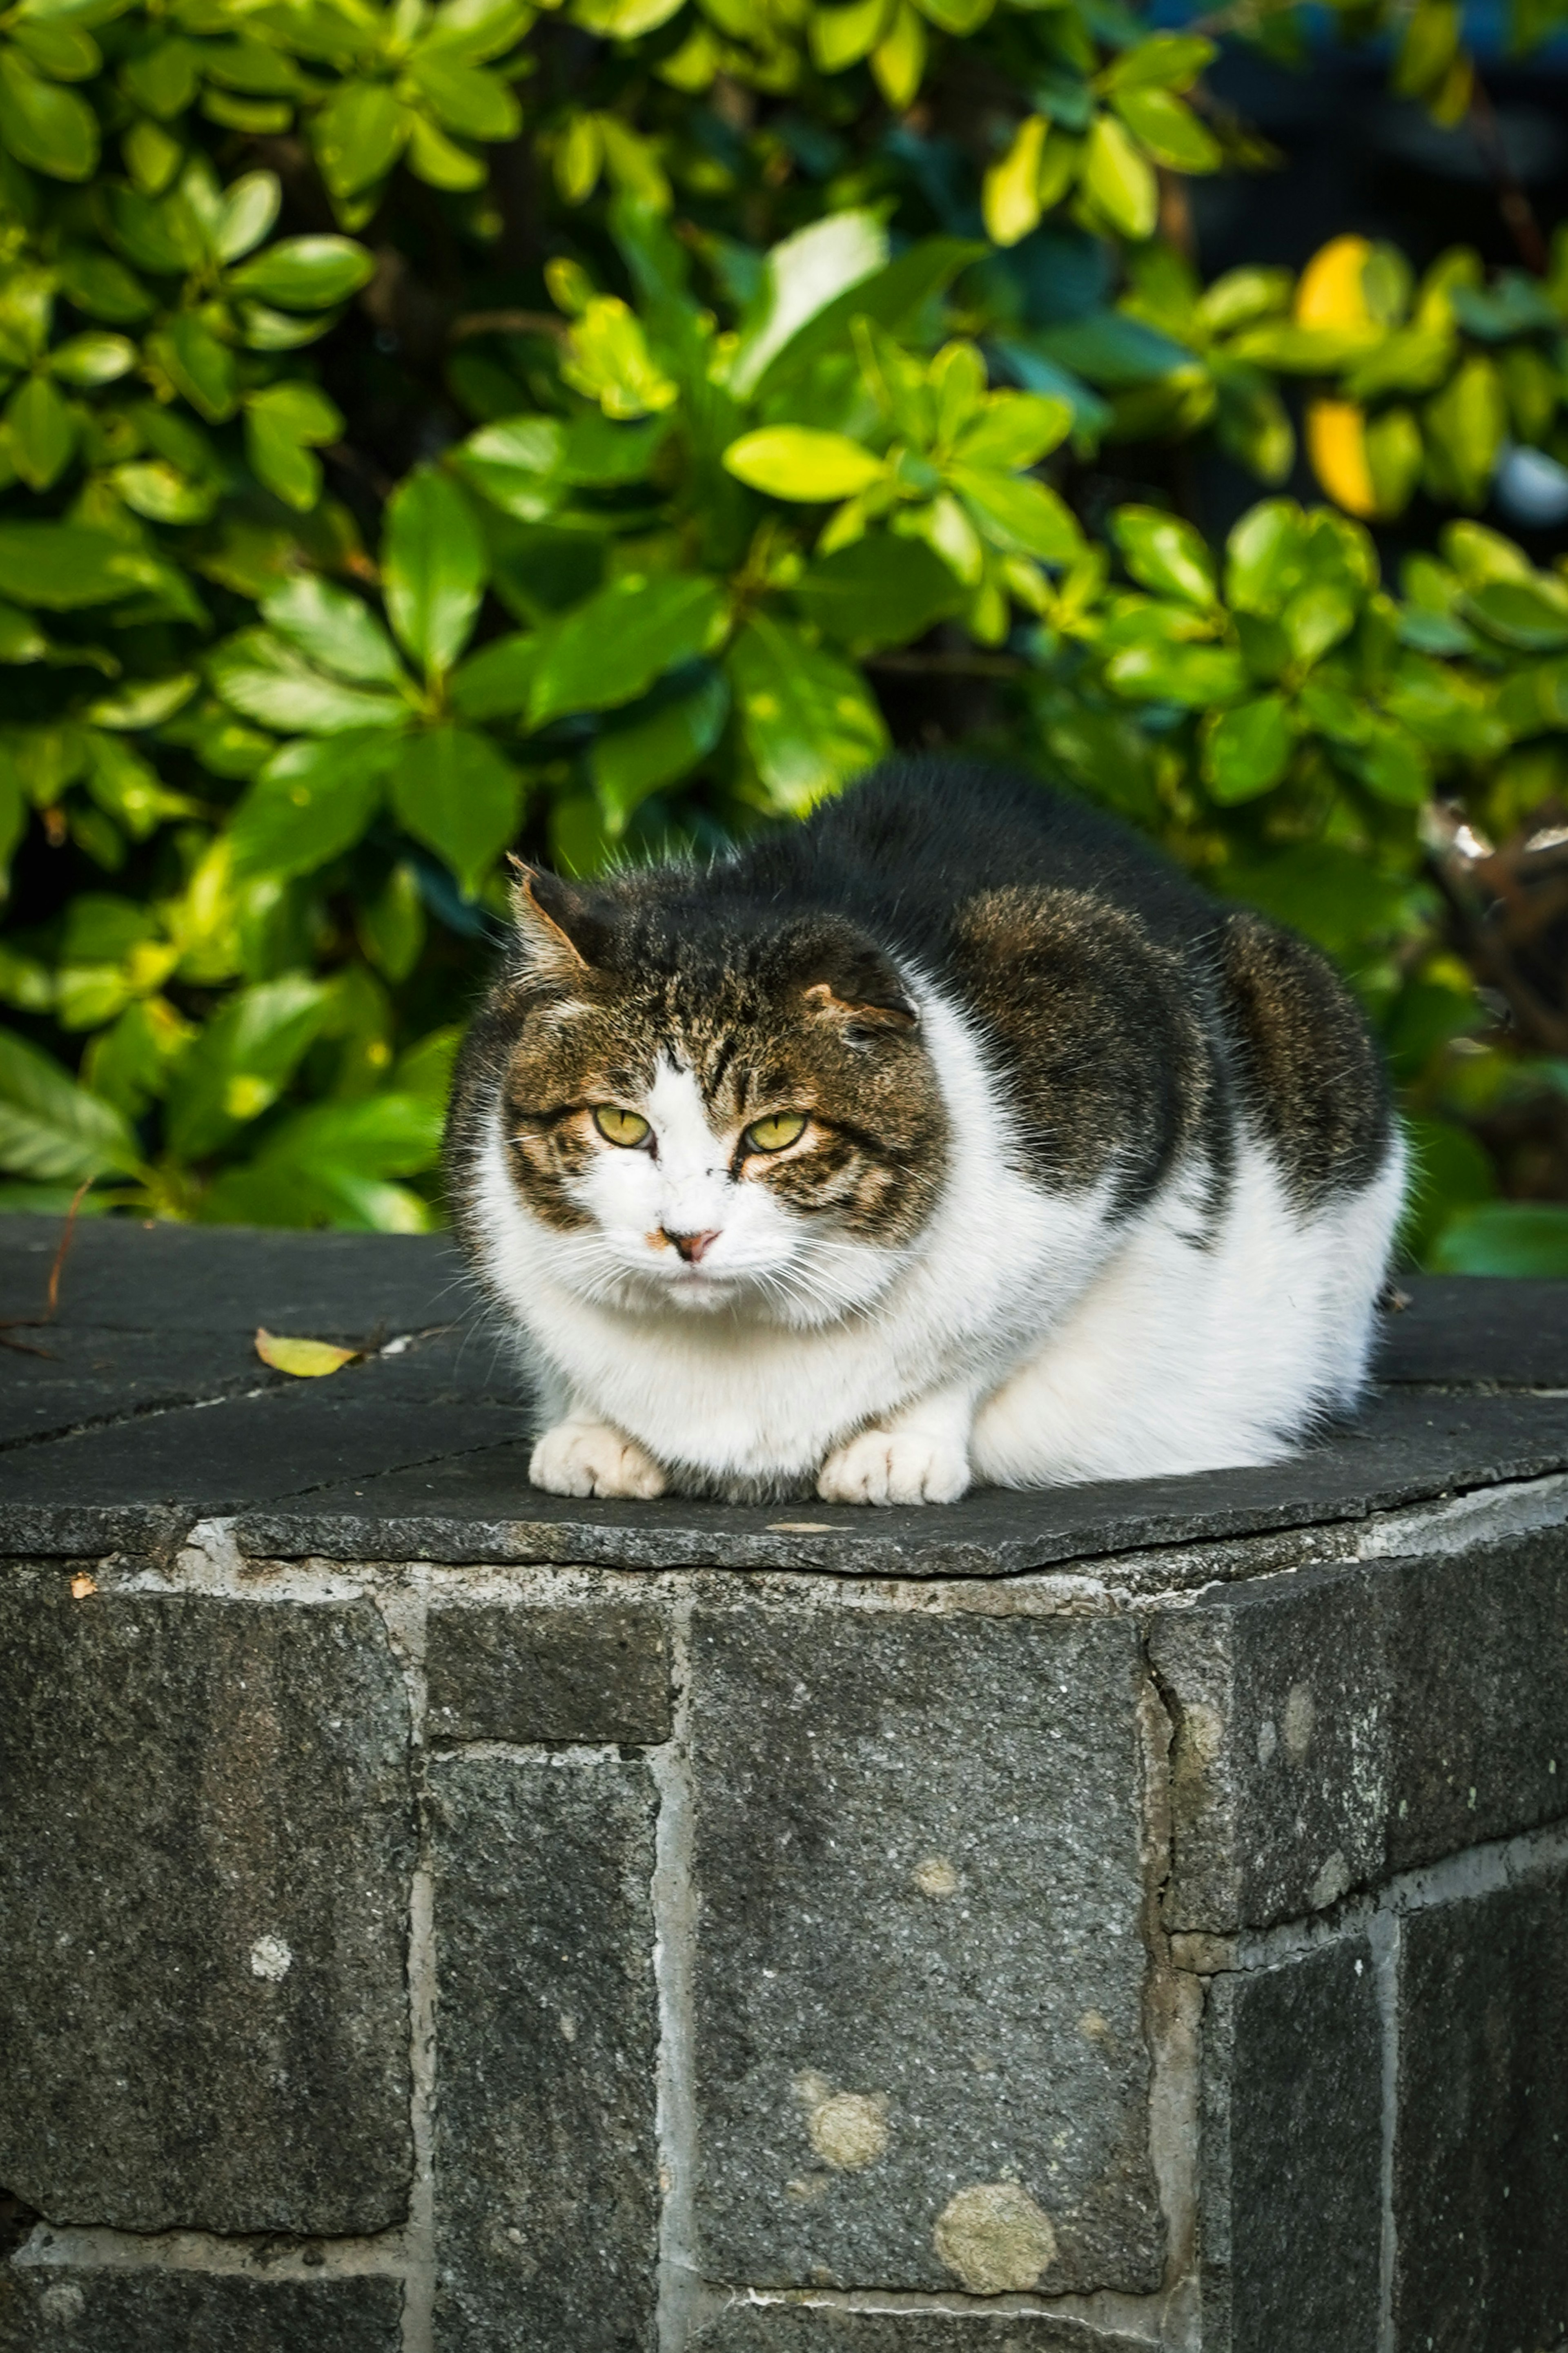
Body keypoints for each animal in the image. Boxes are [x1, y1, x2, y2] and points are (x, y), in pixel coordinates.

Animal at [444, 762, 1410, 1515]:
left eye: (779, 1131)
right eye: (620, 1123)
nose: (686, 1238)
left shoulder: (1117, 1049)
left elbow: (990, 1335)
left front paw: (900, 1446)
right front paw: (592, 1430)